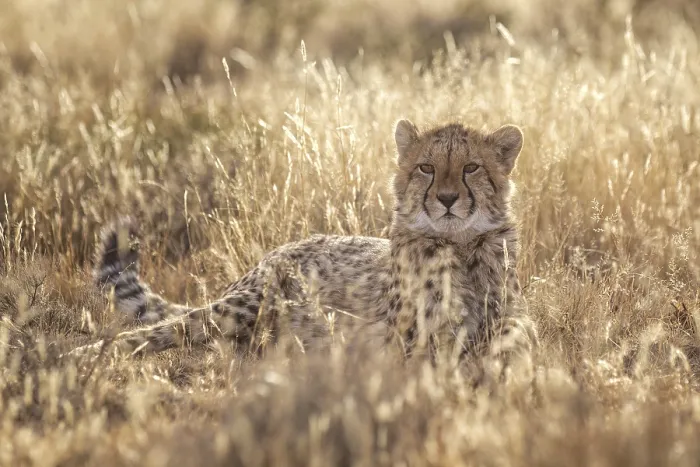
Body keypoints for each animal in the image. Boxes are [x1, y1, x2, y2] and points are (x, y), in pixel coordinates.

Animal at [72, 119, 537, 378]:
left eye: (471, 167)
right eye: (426, 167)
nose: (446, 198)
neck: (458, 247)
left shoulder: (505, 318)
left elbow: (520, 335)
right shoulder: (407, 338)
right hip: (244, 305)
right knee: (162, 331)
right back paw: (77, 357)